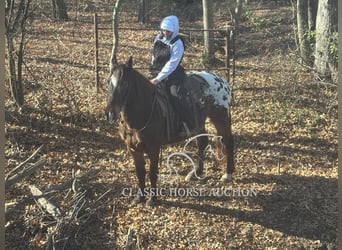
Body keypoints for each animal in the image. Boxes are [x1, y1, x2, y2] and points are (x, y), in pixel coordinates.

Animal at [105, 57, 234, 206]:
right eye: (108, 81)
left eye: (125, 83)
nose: (110, 113)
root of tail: (222, 82)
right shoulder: (133, 149)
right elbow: (140, 172)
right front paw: (140, 197)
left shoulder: (153, 149)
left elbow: (152, 172)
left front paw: (152, 199)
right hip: (200, 125)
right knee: (202, 142)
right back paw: (196, 172)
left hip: (220, 118)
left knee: (228, 141)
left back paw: (228, 174)